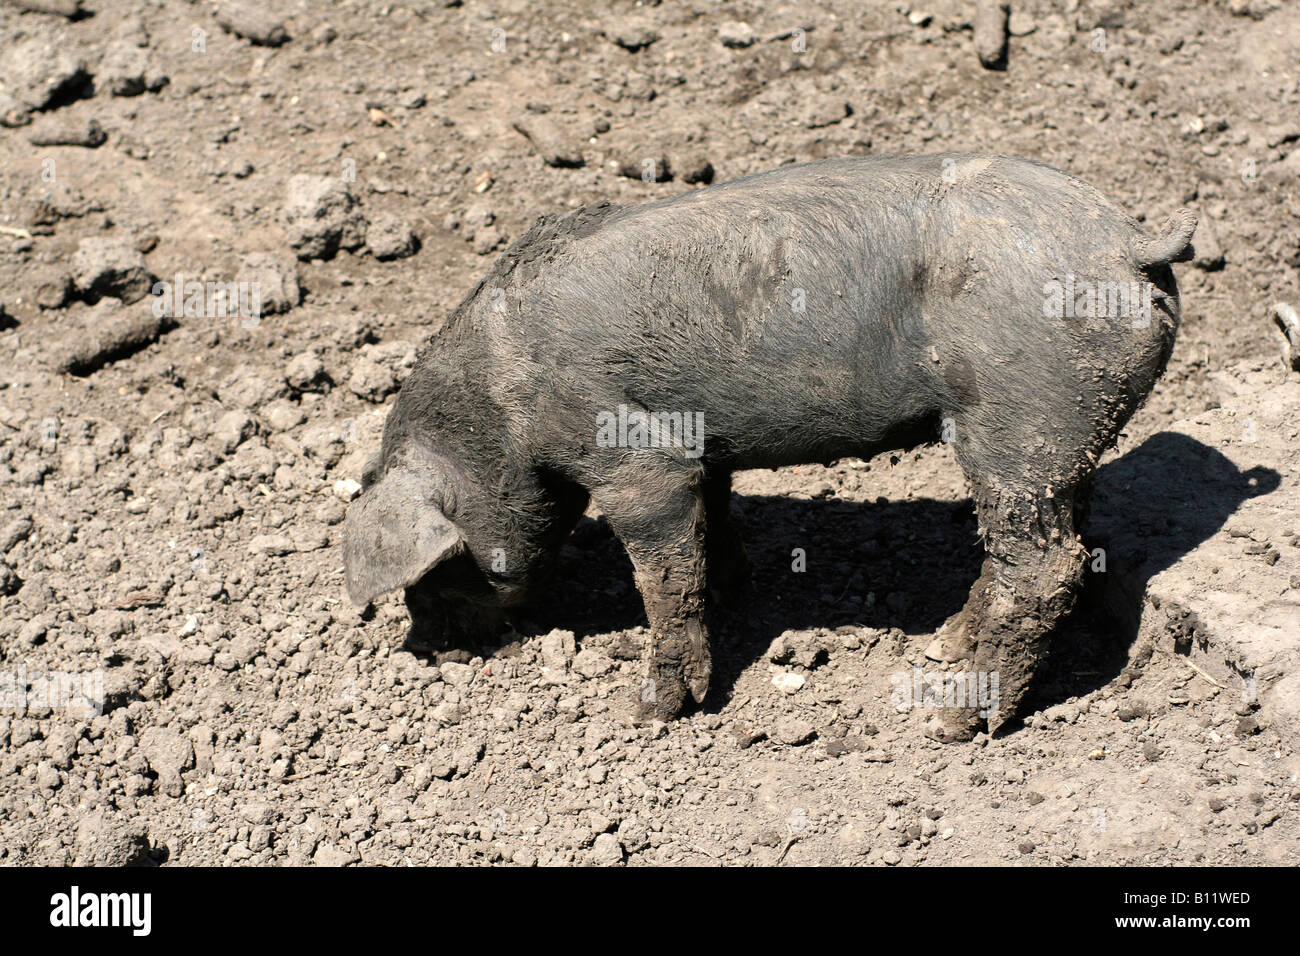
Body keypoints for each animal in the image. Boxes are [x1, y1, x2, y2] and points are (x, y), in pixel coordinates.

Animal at [340, 155, 1190, 738]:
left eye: (441, 569)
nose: (427, 653)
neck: (498, 414)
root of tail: (1130, 241)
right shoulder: (698, 446)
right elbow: (711, 520)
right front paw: (731, 588)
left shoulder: (628, 453)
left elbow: (662, 568)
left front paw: (653, 713)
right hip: (1058, 429)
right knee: (1048, 540)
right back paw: (948, 645)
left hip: (1020, 412)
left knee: (1045, 565)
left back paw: (951, 720)